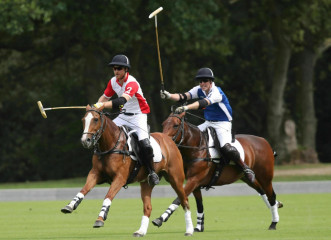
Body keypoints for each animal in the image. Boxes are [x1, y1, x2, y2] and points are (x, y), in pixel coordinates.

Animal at [61, 106, 195, 237]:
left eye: (95, 119)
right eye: (83, 120)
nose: (86, 140)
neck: (110, 145)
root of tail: (169, 140)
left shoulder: (120, 178)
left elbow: (108, 196)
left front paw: (100, 218)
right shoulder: (95, 174)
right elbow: (84, 189)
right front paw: (70, 206)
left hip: (176, 178)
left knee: (185, 201)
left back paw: (189, 230)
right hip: (146, 183)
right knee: (148, 207)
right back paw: (140, 232)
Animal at [152, 113, 282, 232]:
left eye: (175, 125)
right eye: (163, 124)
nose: (164, 141)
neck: (196, 148)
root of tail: (264, 141)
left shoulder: (194, 179)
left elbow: (179, 198)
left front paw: (160, 219)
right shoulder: (195, 183)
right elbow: (199, 204)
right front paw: (199, 227)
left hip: (265, 176)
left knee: (271, 195)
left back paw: (274, 223)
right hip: (248, 178)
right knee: (262, 191)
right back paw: (277, 205)